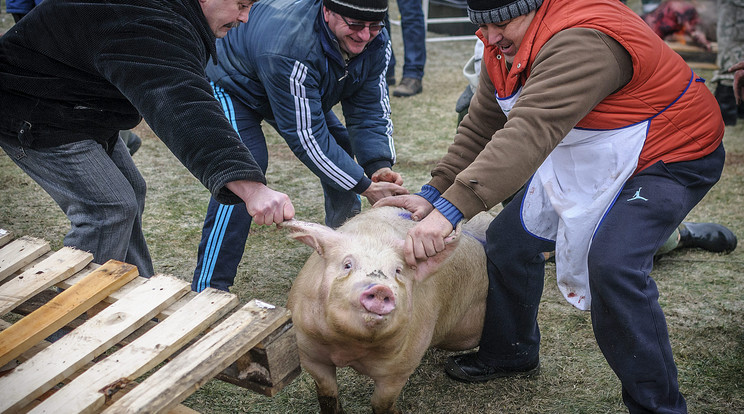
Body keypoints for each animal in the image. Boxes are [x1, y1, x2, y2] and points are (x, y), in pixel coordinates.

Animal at [282, 207, 492, 414]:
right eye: (347, 264)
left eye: (398, 271)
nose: (381, 289)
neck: (350, 349)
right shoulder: (309, 353)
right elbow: (327, 394)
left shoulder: (401, 367)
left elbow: (381, 403)